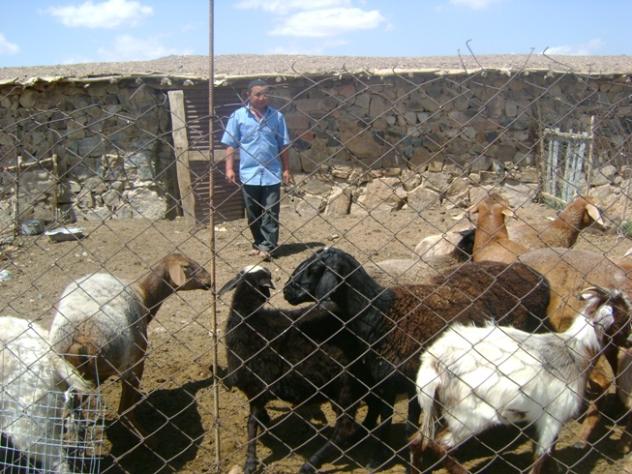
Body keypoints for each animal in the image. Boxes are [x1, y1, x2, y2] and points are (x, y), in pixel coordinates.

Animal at [48, 253, 212, 437]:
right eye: (186, 266)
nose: (209, 280)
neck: (145, 295)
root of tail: (78, 339)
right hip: (128, 365)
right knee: (124, 412)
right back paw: (147, 438)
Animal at [220, 265, 380, 474]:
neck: (248, 320)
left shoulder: (259, 386)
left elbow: (251, 424)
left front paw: (250, 462)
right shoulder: (255, 391)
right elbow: (257, 418)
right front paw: (266, 423)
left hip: (347, 384)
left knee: (343, 429)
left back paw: (311, 463)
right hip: (364, 382)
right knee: (376, 407)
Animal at [283, 247, 552, 466]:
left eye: (314, 269)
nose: (286, 291)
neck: (381, 315)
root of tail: (540, 278)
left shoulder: (408, 382)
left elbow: (404, 427)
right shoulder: (387, 382)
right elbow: (388, 420)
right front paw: (381, 455)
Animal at [412, 286, 632, 474]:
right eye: (626, 317)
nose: (629, 342)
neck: (576, 351)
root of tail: (434, 361)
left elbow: (549, 454)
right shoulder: (553, 415)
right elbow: (541, 457)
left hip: (440, 408)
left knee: (418, 440)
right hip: (468, 415)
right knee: (439, 445)